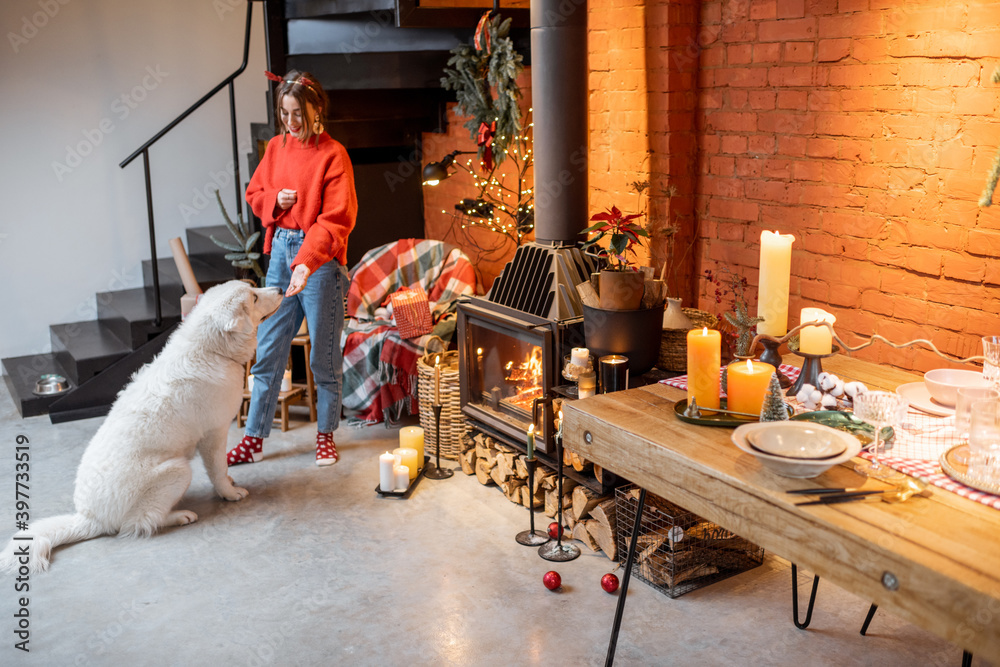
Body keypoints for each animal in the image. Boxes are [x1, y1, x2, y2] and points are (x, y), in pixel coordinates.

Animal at [0, 280, 282, 572]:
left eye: (254, 289)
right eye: (254, 297)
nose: (281, 289)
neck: (209, 350)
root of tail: (89, 517)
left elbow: (222, 470)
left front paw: (230, 482)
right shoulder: (213, 435)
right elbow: (217, 469)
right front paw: (229, 492)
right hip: (178, 470)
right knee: (139, 522)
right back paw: (179, 516)